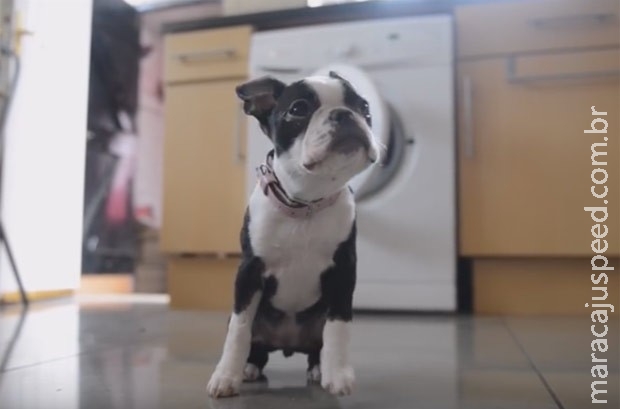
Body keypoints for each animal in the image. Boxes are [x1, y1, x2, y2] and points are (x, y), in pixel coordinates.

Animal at [207, 71, 378, 396]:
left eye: (364, 108)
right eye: (298, 109)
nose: (344, 114)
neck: (305, 203)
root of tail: (286, 344)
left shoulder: (344, 271)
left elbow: (338, 326)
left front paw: (338, 375)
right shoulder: (248, 271)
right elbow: (239, 330)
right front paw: (225, 376)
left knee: (316, 347)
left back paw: (318, 369)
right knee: (256, 348)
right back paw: (248, 368)